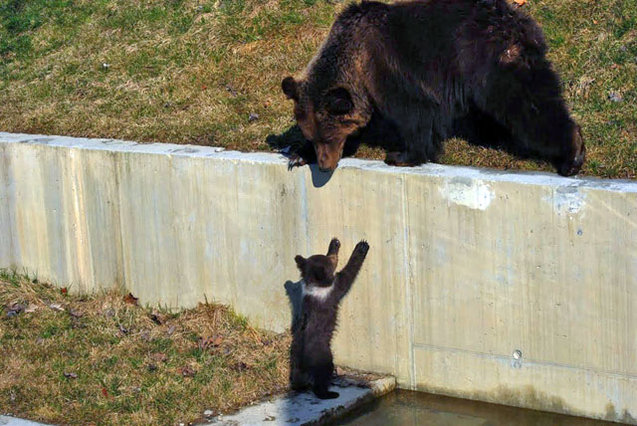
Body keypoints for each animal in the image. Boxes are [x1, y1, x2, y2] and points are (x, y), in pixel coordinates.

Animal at [284, 0, 588, 176]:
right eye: (314, 136)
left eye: (328, 136)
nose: (325, 164)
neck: (355, 60)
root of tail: (520, 21)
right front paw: (297, 155)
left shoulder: (390, 69)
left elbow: (414, 114)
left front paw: (401, 155)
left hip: (490, 62)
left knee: (528, 106)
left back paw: (571, 153)